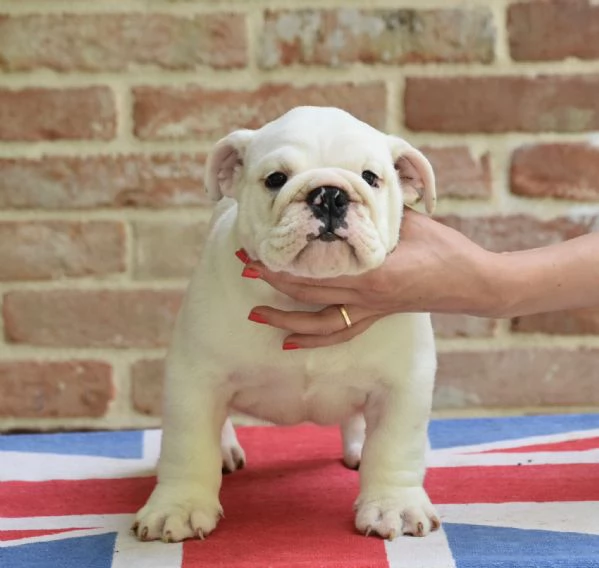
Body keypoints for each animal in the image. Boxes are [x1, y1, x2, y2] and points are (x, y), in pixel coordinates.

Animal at [135, 105, 440, 540]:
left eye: (371, 178)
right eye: (275, 179)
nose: (330, 194)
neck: (309, 298)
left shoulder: (403, 385)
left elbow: (395, 447)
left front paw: (392, 505)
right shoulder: (194, 377)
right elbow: (188, 444)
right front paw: (178, 507)